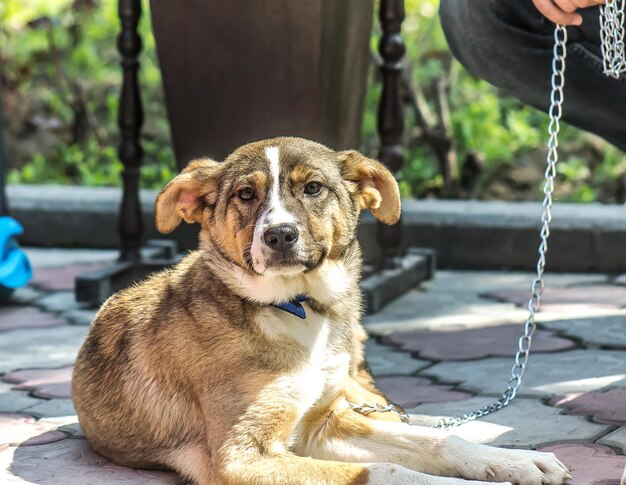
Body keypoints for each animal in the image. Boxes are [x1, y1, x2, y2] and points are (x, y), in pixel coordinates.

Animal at [72, 136, 572, 484]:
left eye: (313, 188)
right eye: (245, 195)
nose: (280, 235)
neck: (296, 310)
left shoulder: (324, 426)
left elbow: (439, 439)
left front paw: (515, 461)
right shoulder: (243, 457)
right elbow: (387, 470)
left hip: (352, 394)